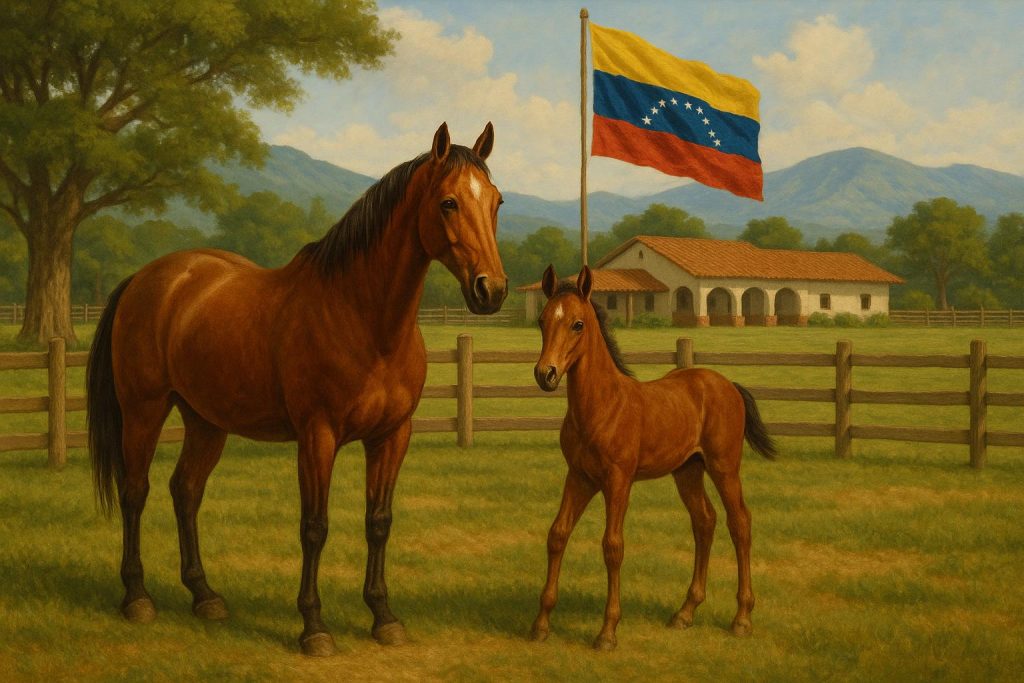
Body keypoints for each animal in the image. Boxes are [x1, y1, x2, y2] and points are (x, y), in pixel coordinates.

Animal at [87, 122, 507, 657]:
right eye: (448, 202)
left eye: (496, 201)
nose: (491, 290)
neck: (363, 318)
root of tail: (147, 278)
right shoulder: (317, 437)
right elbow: (315, 526)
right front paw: (314, 627)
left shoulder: (392, 436)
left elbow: (378, 521)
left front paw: (384, 617)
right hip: (144, 410)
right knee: (135, 491)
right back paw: (137, 598)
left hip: (206, 421)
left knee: (185, 491)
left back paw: (205, 596)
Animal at [527, 265, 776, 651]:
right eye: (542, 320)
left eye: (578, 324)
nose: (546, 374)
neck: (602, 406)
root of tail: (727, 385)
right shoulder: (579, 477)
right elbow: (557, 535)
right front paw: (540, 625)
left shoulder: (618, 481)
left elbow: (612, 546)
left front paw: (608, 632)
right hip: (687, 471)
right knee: (704, 521)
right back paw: (685, 613)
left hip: (724, 468)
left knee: (740, 524)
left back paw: (742, 618)